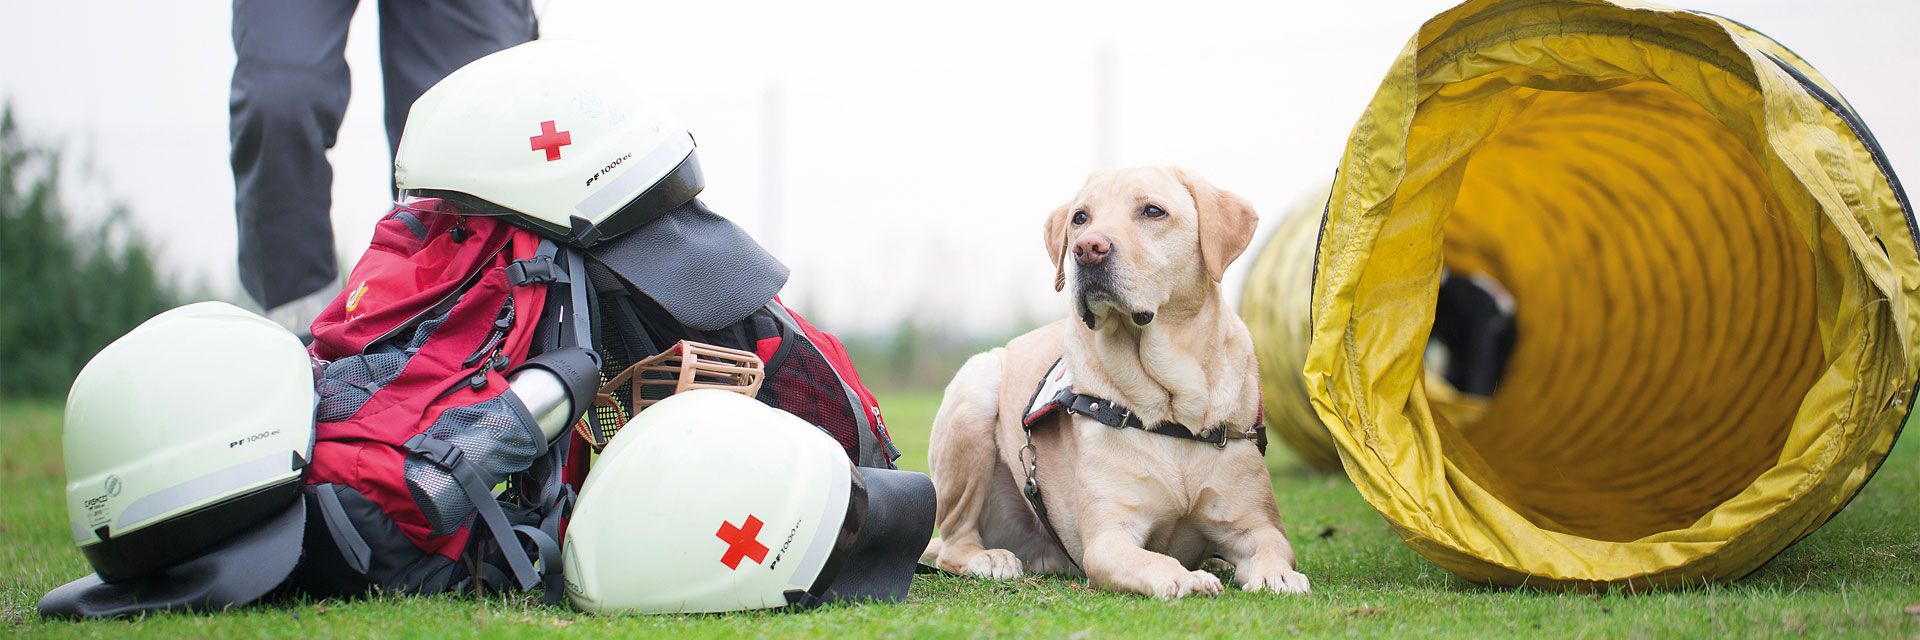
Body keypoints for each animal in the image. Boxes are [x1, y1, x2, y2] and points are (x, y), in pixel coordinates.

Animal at [921, 165, 1313, 599]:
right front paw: (1185, 577)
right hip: (974, 391)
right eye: (1080, 218)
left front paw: (1277, 575)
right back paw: (987, 558)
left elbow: (1274, 549)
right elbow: (1153, 560)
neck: (1173, 409)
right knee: (953, 541)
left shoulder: (1255, 524)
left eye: (1153, 211)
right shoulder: (1110, 537)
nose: (1087, 248)